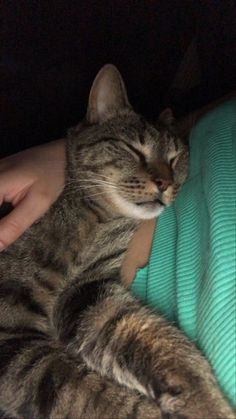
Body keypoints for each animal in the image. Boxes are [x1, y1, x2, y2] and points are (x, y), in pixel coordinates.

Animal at [0, 63, 234, 419]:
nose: (164, 182)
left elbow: (150, 334)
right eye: (133, 149)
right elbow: (76, 390)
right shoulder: (12, 339)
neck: (94, 221)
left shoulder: (89, 296)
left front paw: (204, 400)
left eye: (175, 158)